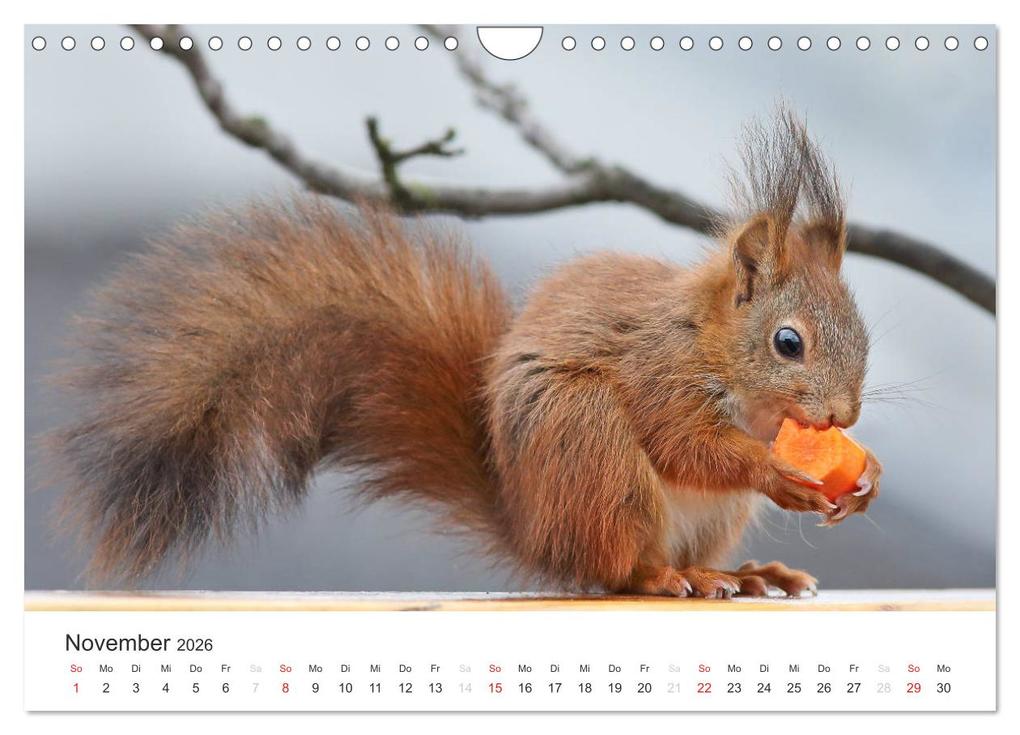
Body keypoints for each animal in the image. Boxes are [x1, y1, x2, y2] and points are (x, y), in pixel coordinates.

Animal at [51, 110, 881, 596]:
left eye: (863, 331)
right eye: (787, 342)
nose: (845, 415)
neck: (710, 344)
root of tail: (535, 531)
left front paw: (863, 474)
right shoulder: (658, 375)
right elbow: (689, 445)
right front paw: (779, 472)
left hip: (693, 512)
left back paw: (742, 571)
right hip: (593, 449)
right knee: (619, 570)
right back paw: (674, 578)